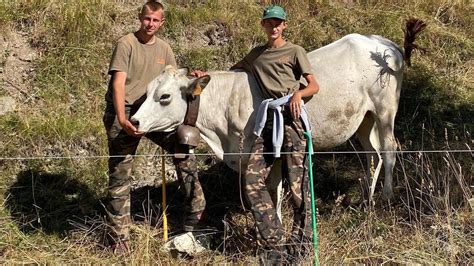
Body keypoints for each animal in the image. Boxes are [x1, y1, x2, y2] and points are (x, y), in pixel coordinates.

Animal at [131, 20, 424, 206]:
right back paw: (367, 196)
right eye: (147, 91)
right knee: (371, 153)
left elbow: (274, 190)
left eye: (165, 96)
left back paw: (385, 198)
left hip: (385, 111)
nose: (134, 120)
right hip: (364, 118)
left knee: (389, 149)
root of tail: (386, 44)